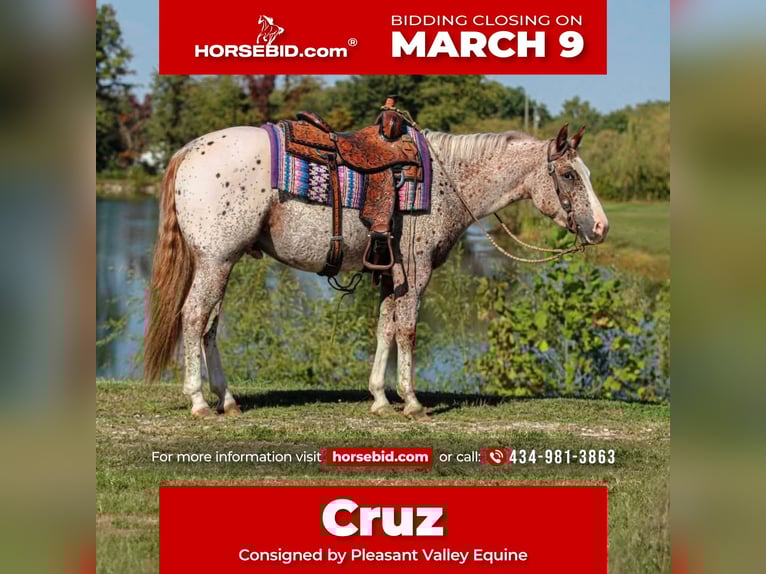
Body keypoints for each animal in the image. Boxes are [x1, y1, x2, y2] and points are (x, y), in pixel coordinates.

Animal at [144, 123, 609, 419]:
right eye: (569, 175)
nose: (601, 227)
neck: (447, 183)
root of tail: (189, 150)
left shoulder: (392, 274)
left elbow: (385, 327)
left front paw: (381, 398)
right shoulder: (416, 272)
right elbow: (407, 329)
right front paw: (412, 400)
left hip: (222, 262)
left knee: (209, 326)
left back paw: (227, 399)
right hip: (216, 261)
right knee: (195, 318)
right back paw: (199, 402)